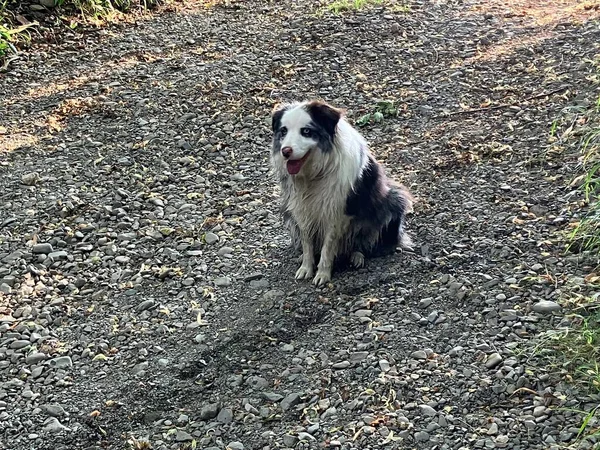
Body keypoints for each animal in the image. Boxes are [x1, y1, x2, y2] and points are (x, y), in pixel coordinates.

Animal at [270, 100, 414, 286]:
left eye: (306, 131)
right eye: (283, 131)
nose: (285, 151)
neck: (314, 174)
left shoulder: (337, 212)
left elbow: (328, 246)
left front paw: (322, 274)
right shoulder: (301, 208)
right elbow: (307, 242)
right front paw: (306, 267)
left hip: (393, 200)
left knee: (364, 242)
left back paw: (357, 256)